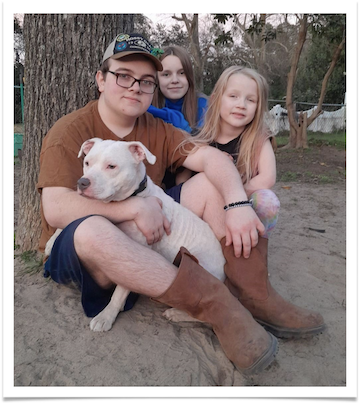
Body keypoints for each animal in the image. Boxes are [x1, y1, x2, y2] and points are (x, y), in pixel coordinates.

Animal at [45, 138, 225, 332]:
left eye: (111, 166)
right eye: (87, 163)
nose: (82, 182)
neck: (129, 198)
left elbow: (119, 292)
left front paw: (106, 316)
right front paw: (52, 240)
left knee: (206, 315)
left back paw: (177, 314)